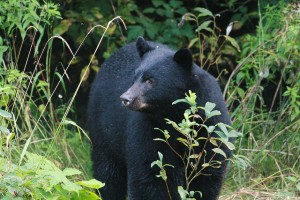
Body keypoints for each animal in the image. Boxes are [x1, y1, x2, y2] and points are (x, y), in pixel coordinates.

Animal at [86, 36, 232, 199]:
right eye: (134, 78)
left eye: (150, 80)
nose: (125, 98)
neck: (173, 113)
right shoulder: (149, 127)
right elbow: (149, 173)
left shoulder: (210, 126)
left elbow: (207, 173)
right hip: (104, 130)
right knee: (107, 173)